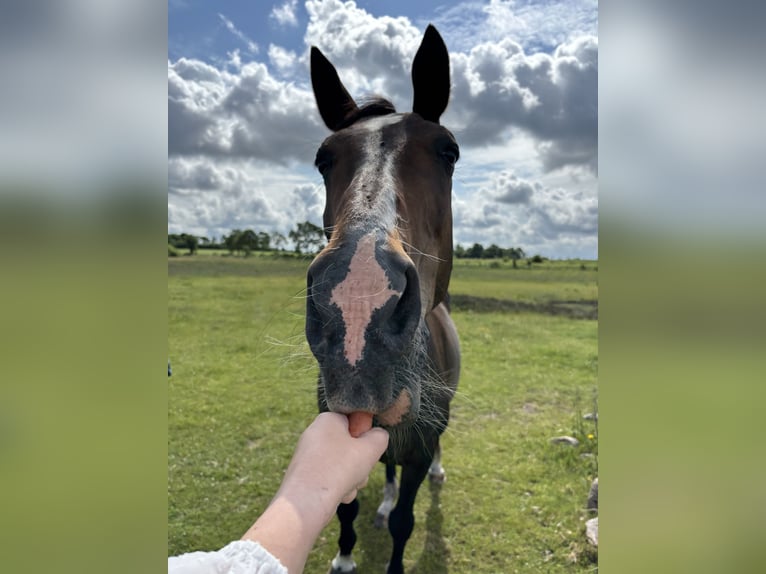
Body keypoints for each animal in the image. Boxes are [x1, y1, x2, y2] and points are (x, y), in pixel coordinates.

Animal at [305, 25, 460, 574]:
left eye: (449, 152)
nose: (358, 301)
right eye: (323, 158)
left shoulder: (418, 446)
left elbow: (405, 524)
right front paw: (344, 558)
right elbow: (344, 505)